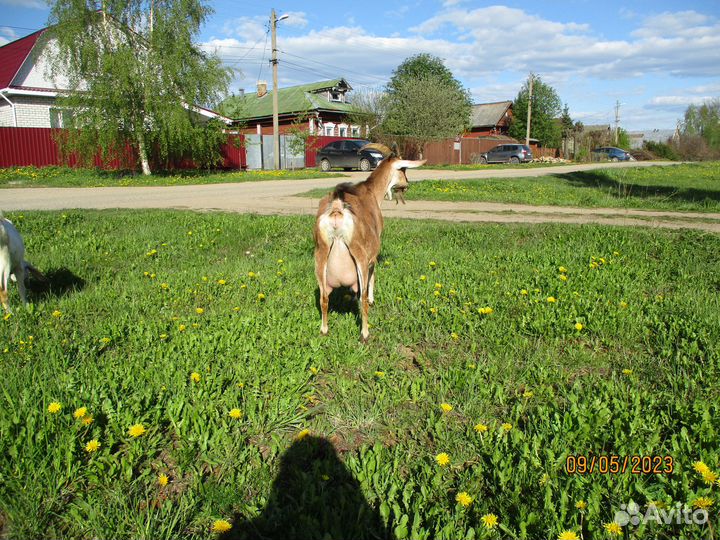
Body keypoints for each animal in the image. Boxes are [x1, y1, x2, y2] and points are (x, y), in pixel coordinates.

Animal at [313, 146, 425, 341]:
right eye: (403, 169)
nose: (407, 184)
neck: (371, 191)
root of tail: (337, 210)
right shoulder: (372, 256)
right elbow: (373, 278)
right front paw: (373, 300)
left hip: (320, 256)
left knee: (324, 299)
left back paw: (324, 329)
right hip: (360, 257)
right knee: (363, 298)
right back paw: (365, 333)